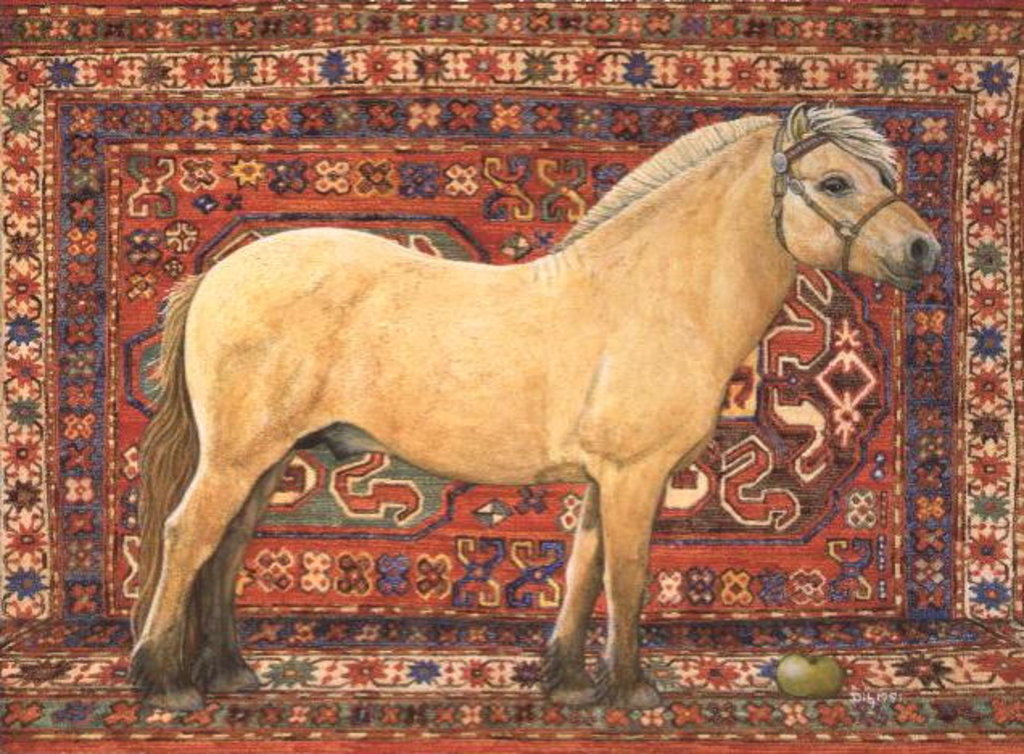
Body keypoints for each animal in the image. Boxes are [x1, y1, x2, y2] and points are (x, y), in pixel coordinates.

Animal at [130, 104, 940, 711]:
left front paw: (569, 683)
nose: (924, 249)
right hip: (238, 454)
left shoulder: (603, 480)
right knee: (187, 536)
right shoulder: (635, 476)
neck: (652, 295)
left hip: (268, 457)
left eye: (881, 174)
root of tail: (216, 276)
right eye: (835, 180)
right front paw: (630, 690)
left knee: (228, 546)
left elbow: (583, 571)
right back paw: (163, 683)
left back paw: (231, 672)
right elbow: (628, 576)